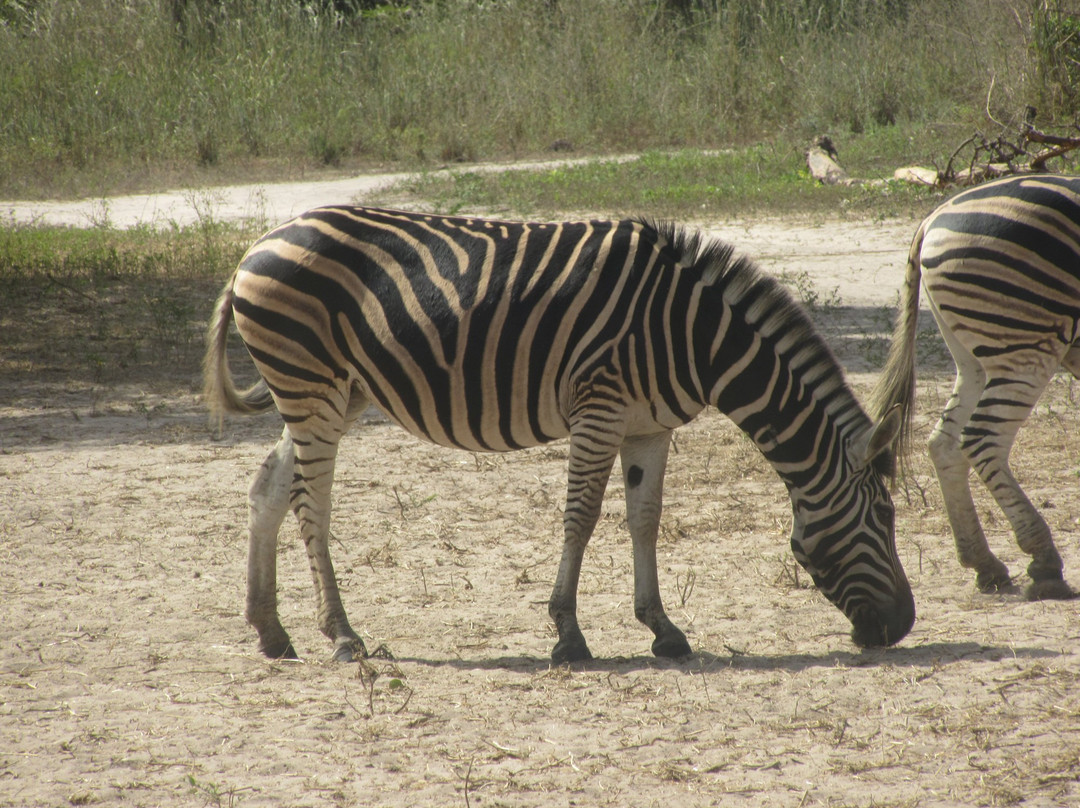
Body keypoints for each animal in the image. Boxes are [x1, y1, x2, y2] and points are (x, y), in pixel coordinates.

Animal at [206, 206, 915, 661]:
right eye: (884, 517)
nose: (903, 625)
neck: (697, 336)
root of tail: (259, 243)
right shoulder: (600, 408)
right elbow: (582, 516)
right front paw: (569, 635)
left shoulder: (648, 428)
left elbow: (644, 518)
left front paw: (662, 630)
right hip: (314, 388)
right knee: (311, 504)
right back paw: (342, 636)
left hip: (331, 393)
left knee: (269, 488)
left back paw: (272, 633)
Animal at [868, 171, 1080, 600]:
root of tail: (932, 218)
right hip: (1025, 343)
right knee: (982, 440)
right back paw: (1044, 561)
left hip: (974, 356)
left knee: (943, 442)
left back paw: (984, 563)